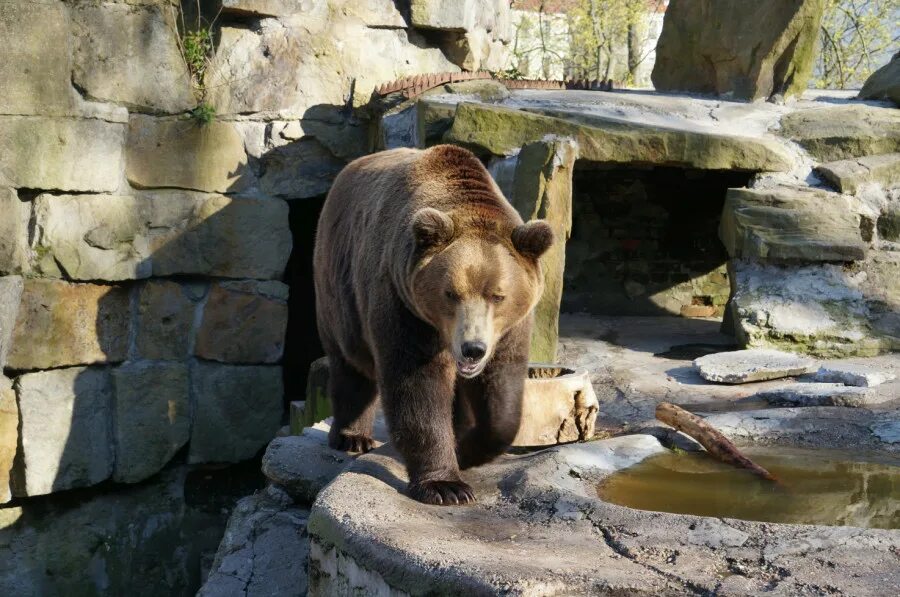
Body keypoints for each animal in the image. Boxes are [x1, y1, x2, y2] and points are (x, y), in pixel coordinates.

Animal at [312, 143, 552, 502]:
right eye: (450, 293)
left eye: (498, 295)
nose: (472, 349)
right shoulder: (404, 305)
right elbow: (417, 387)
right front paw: (446, 485)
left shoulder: (509, 330)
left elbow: (501, 396)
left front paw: (466, 450)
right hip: (339, 284)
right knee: (350, 364)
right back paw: (352, 437)